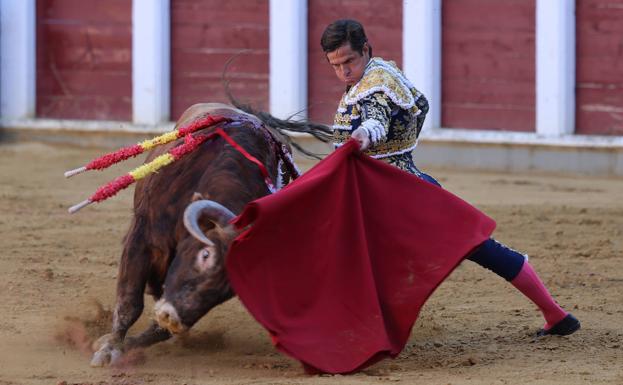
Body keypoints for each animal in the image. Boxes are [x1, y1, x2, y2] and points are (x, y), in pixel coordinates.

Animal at [91, 103, 310, 366]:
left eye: (230, 289)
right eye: (205, 255)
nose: (171, 317)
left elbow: (159, 328)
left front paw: (129, 345)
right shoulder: (142, 237)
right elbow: (129, 302)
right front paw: (109, 349)